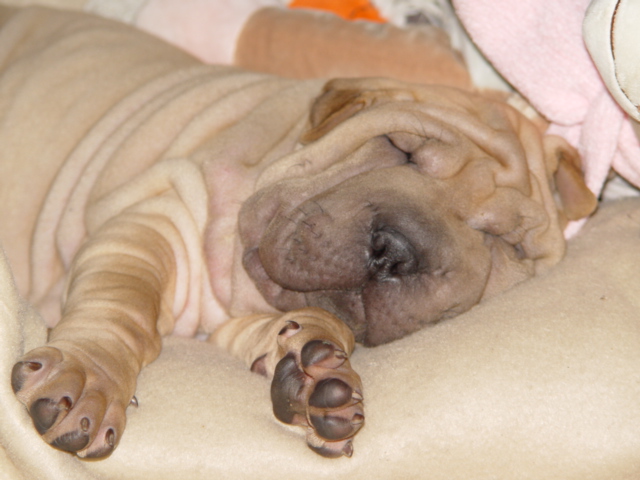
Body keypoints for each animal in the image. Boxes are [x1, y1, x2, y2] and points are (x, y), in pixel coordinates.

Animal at [2, 5, 596, 459]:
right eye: (400, 149)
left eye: (503, 244)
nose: (396, 253)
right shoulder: (156, 213)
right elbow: (123, 304)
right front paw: (91, 378)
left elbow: (292, 324)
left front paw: (314, 371)